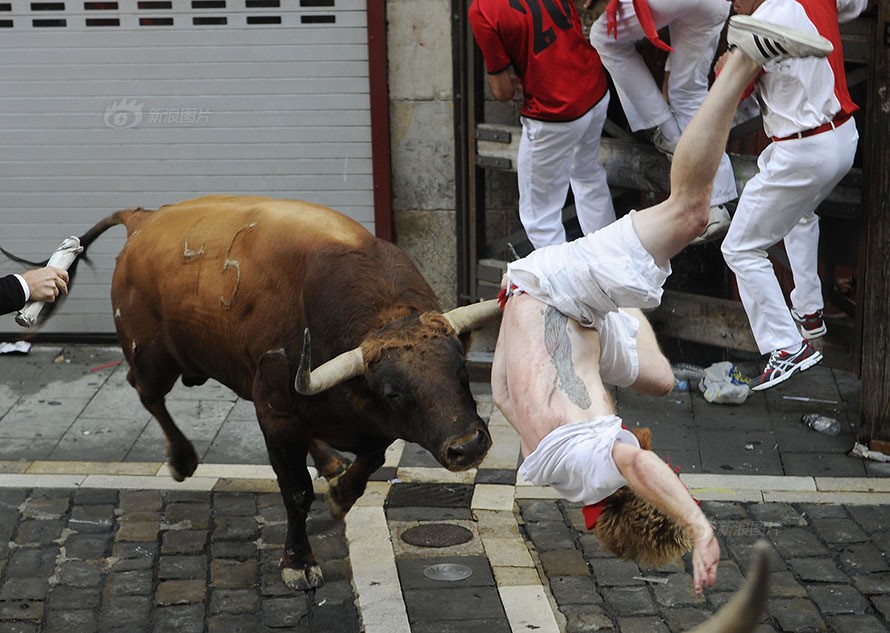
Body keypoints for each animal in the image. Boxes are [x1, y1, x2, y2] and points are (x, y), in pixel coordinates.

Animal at [76, 195, 500, 592]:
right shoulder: (277, 416)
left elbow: (371, 461)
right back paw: (182, 459)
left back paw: (330, 461)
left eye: (462, 369)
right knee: (146, 393)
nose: (469, 445)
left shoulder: (371, 423)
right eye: (393, 392)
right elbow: (296, 492)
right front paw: (298, 562)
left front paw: (340, 494)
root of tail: (143, 219)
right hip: (151, 358)